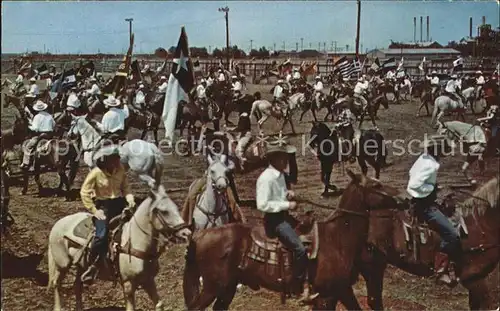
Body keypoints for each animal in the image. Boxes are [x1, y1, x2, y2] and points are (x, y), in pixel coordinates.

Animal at [47, 185, 192, 311]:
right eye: (164, 211)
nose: (187, 233)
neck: (135, 241)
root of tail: (58, 224)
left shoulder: (148, 280)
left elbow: (159, 304)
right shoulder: (128, 285)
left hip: (80, 265)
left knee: (77, 286)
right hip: (62, 265)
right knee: (56, 284)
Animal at [182, 171, 400, 311]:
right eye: (376, 185)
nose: (402, 198)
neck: (338, 238)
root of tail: (200, 235)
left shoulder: (342, 290)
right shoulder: (326, 296)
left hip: (226, 288)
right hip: (212, 288)